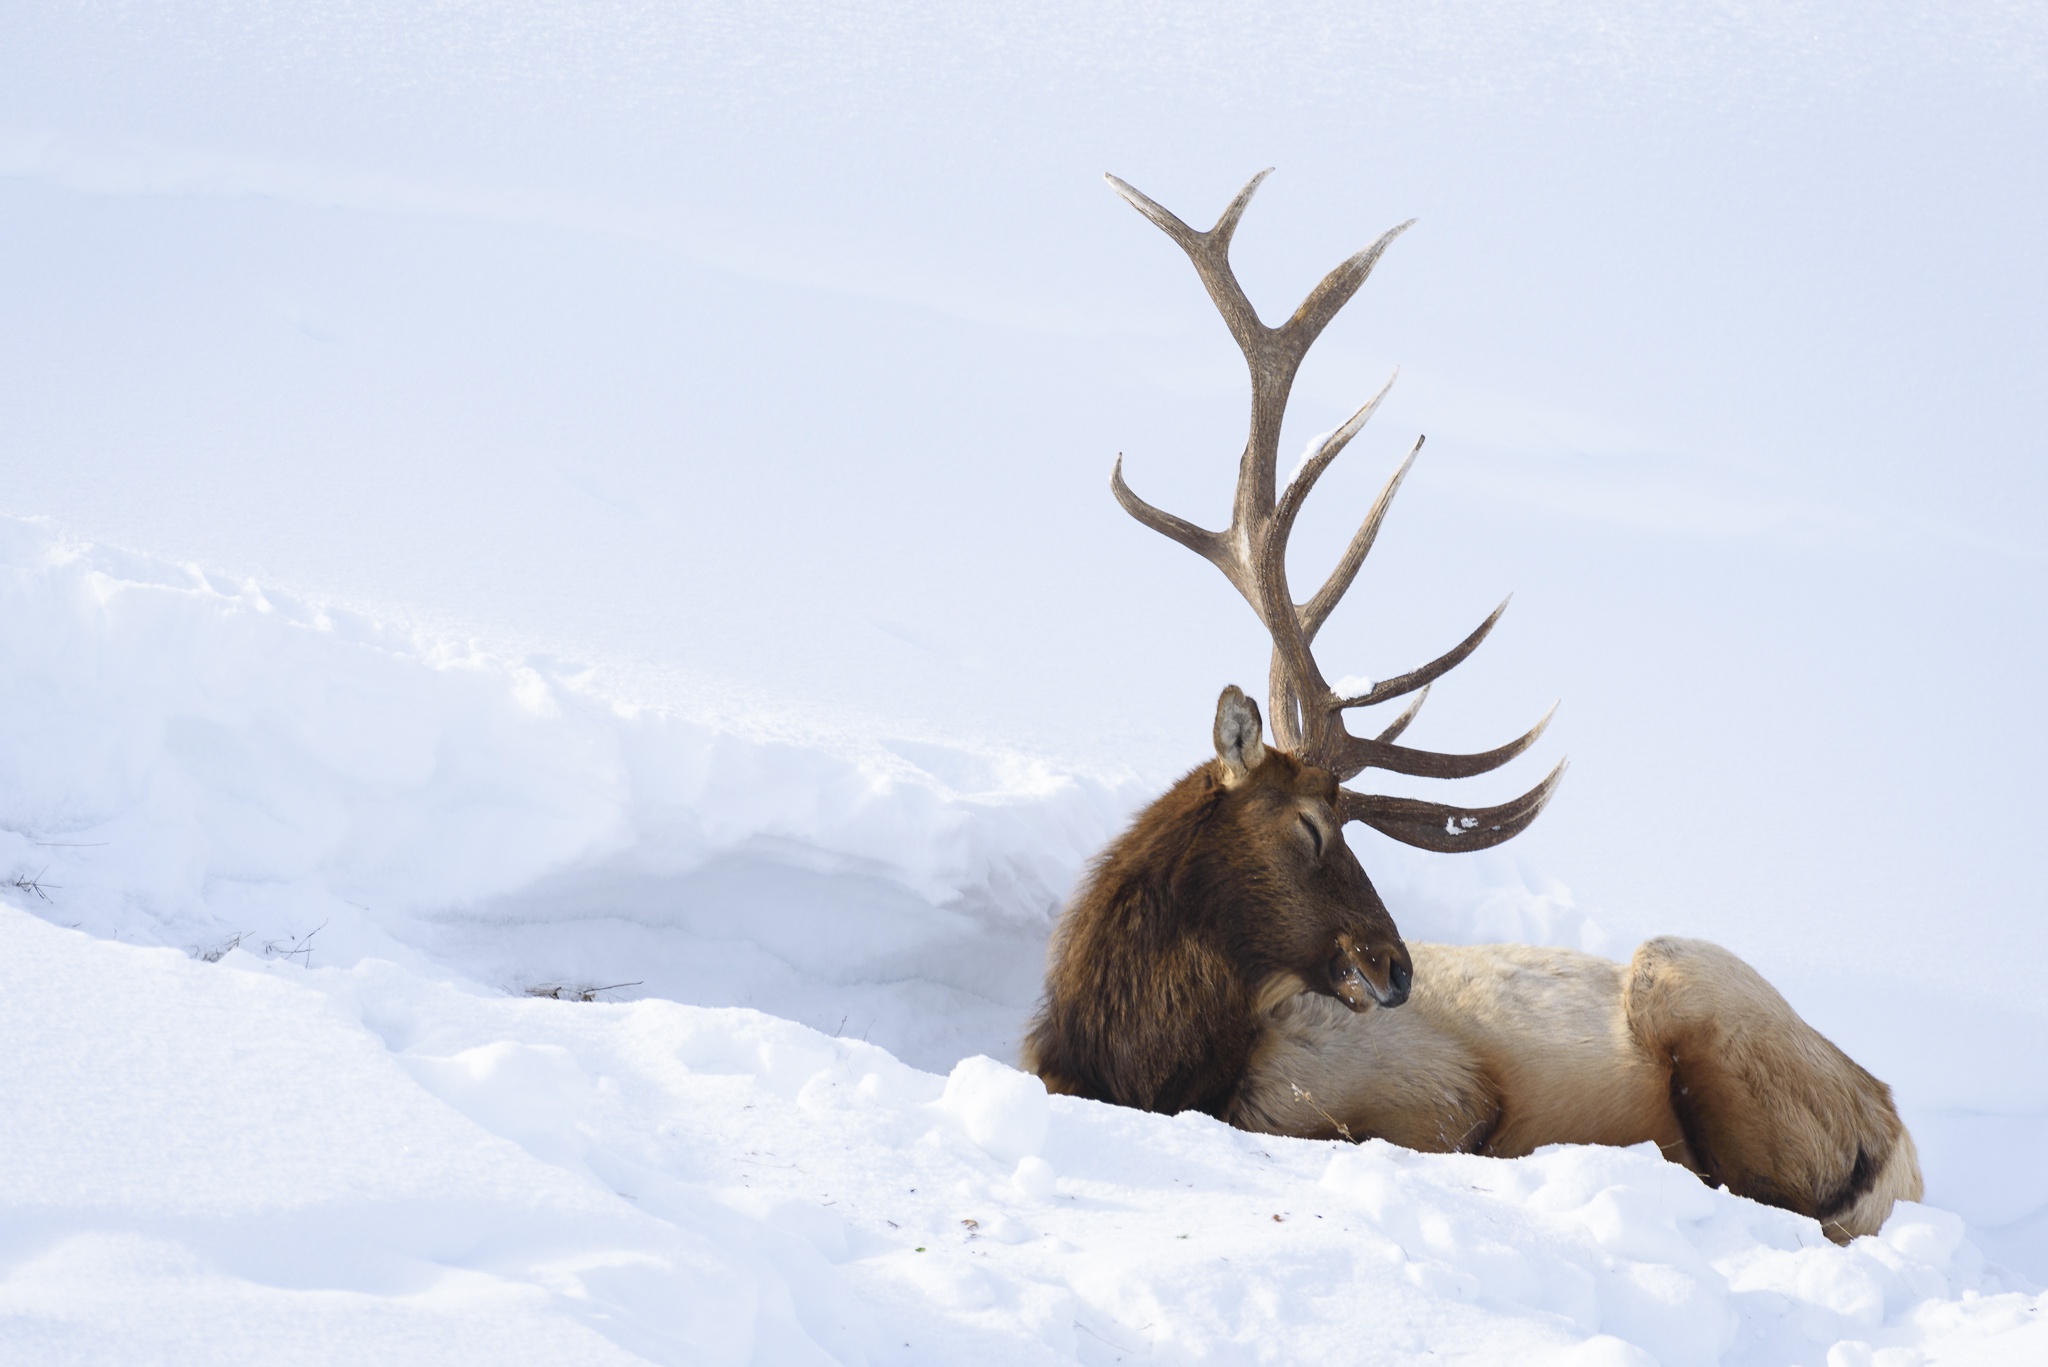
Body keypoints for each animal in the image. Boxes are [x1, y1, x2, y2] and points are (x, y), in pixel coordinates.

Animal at [1024, 168, 1916, 1237]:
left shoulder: (1428, 1089)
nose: (1396, 967)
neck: (1136, 1056)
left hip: (1691, 982)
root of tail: (1897, 1135)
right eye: (1312, 827)